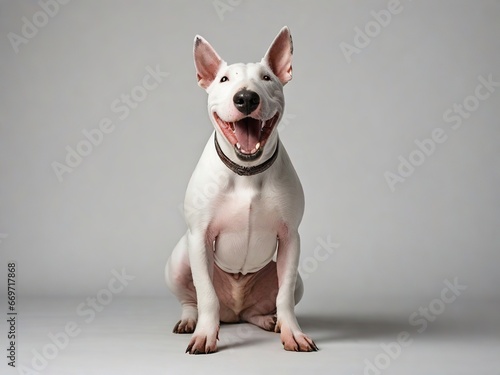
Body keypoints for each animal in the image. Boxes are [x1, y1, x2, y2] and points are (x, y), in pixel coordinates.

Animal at [166, 26, 318, 356]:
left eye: (267, 78)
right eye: (224, 79)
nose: (246, 98)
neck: (246, 170)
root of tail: (233, 313)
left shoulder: (290, 238)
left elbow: (284, 295)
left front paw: (293, 333)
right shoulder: (200, 236)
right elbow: (206, 293)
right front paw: (205, 335)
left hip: (292, 279)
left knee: (260, 307)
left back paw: (269, 321)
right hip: (178, 261)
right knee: (191, 299)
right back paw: (190, 321)